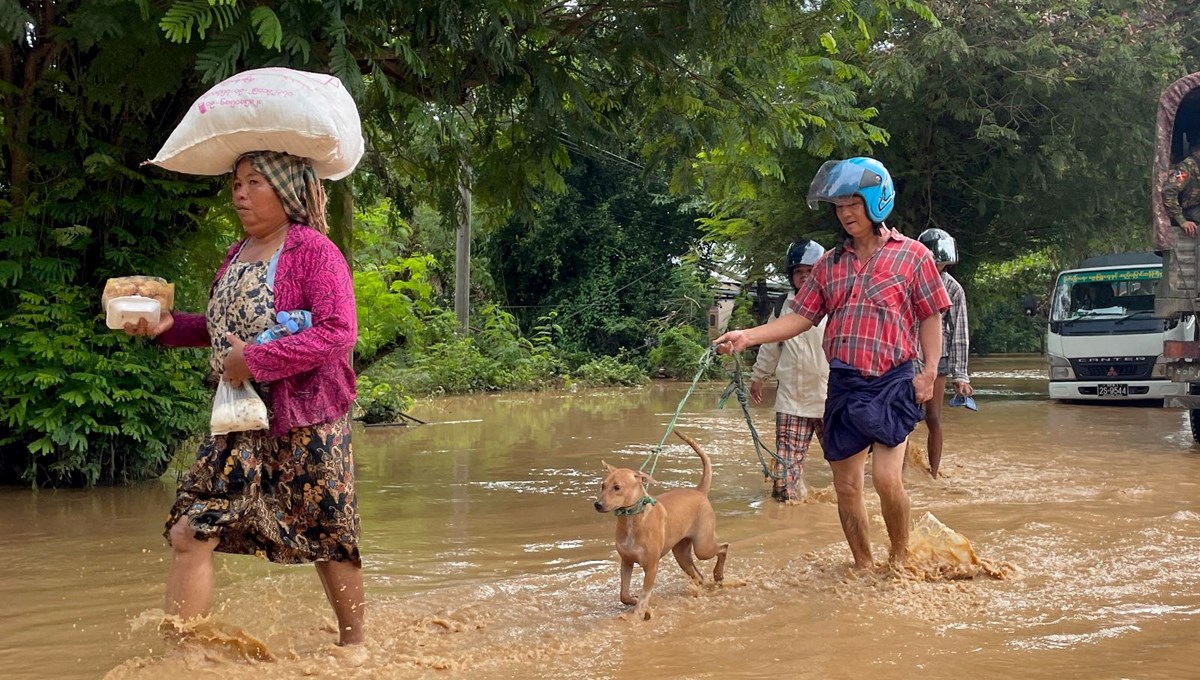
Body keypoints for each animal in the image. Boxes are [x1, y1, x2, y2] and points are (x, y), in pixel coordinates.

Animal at [592, 434, 724, 618]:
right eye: (602, 485)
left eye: (617, 487)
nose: (597, 504)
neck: (633, 520)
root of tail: (699, 491)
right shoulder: (626, 561)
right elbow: (623, 594)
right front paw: (633, 600)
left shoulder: (651, 566)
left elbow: (644, 595)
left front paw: (638, 614)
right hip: (681, 554)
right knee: (699, 576)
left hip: (703, 547)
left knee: (724, 547)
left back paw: (718, 574)